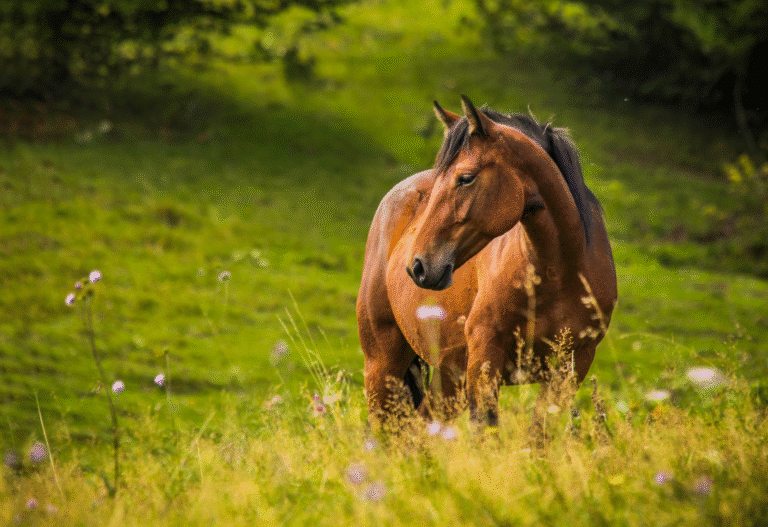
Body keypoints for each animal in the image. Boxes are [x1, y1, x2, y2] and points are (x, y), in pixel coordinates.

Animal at [356, 95, 617, 431]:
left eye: (466, 178)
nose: (418, 266)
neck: (559, 273)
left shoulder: (571, 367)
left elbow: (539, 435)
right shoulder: (484, 358)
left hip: (447, 377)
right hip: (383, 364)